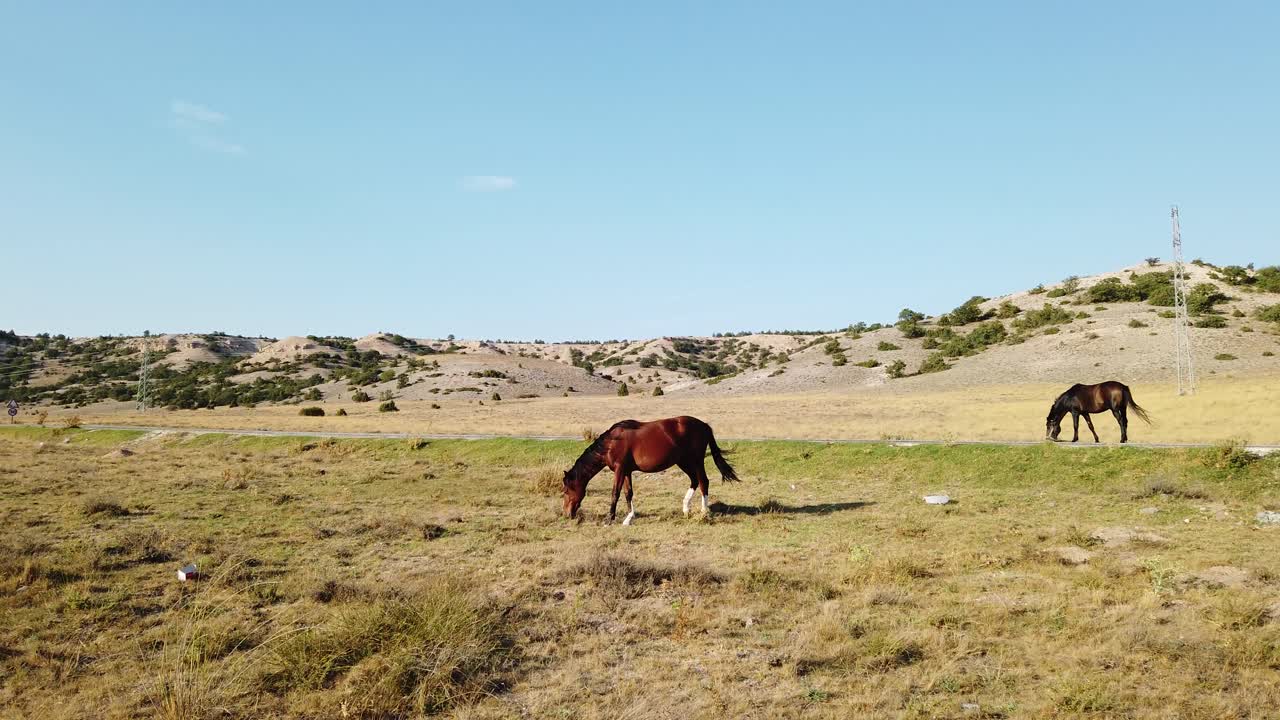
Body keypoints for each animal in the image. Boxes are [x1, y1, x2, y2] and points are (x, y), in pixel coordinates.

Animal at [562, 416, 739, 524]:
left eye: (566, 491)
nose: (567, 514)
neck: (611, 443)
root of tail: (704, 426)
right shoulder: (626, 471)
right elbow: (628, 493)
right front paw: (628, 518)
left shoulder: (620, 470)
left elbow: (615, 493)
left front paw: (609, 519)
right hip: (683, 462)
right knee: (695, 481)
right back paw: (685, 509)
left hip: (695, 461)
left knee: (703, 482)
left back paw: (703, 512)